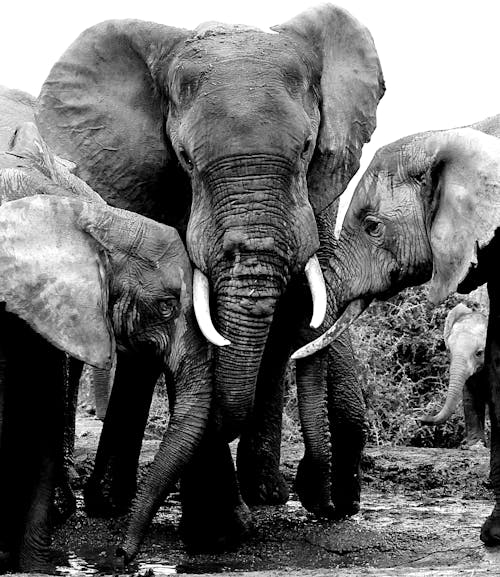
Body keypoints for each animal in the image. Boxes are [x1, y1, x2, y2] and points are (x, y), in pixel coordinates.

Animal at [33, 3, 384, 548]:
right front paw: (219, 534)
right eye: (186, 159)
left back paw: (265, 495)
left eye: (307, 149)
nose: (328, 503)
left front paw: (231, 521)